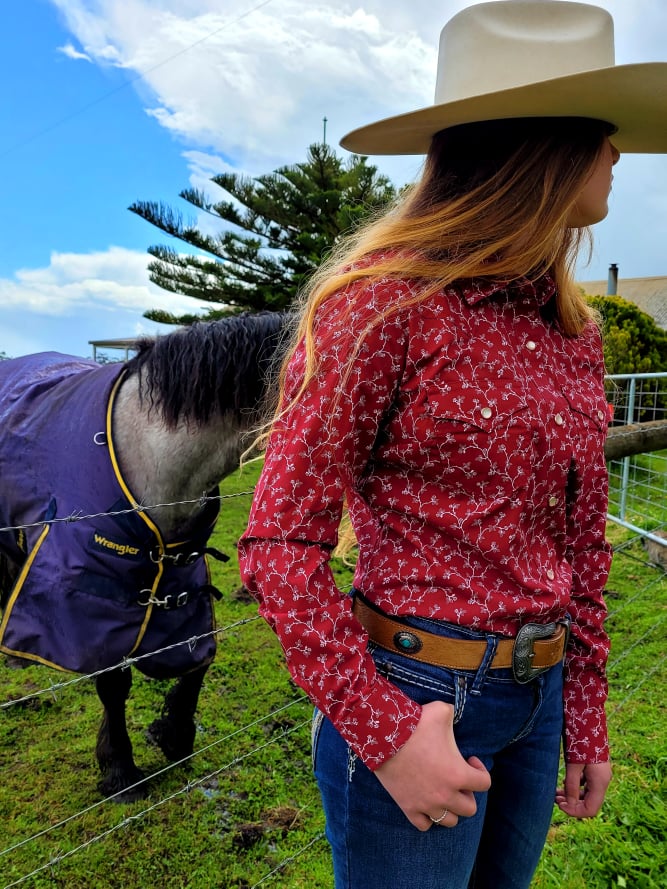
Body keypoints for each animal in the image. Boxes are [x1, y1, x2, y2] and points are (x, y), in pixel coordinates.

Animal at [0, 314, 284, 804]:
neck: (155, 456)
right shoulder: (95, 600)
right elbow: (113, 682)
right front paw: (119, 770)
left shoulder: (179, 579)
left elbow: (199, 653)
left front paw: (175, 733)